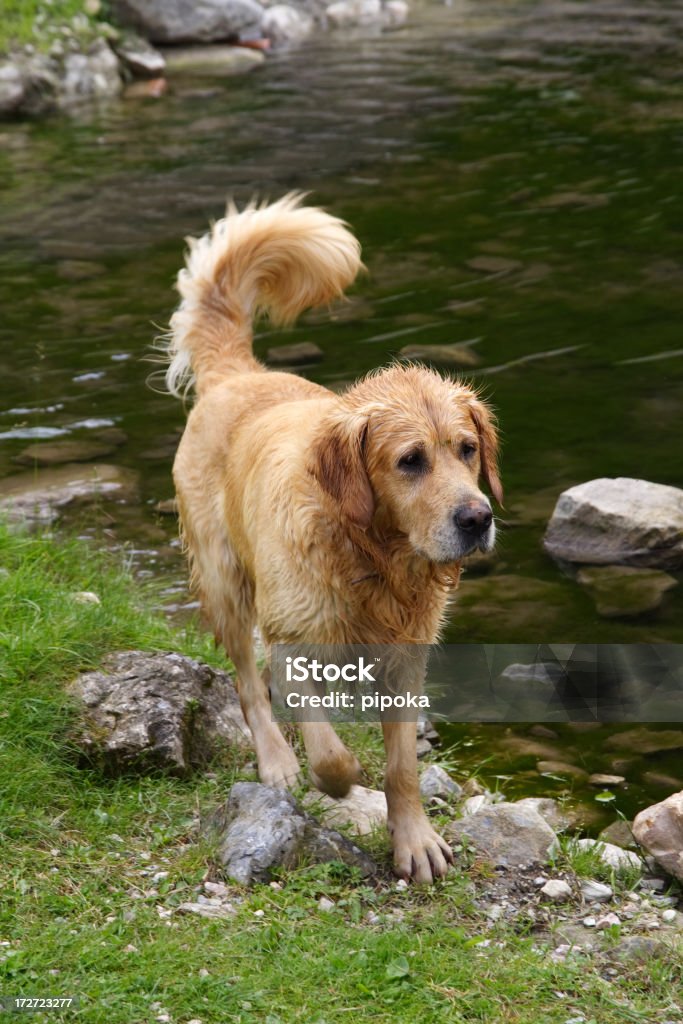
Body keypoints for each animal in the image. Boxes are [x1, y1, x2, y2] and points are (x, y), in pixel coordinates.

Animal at [162, 195, 499, 884]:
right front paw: (337, 780)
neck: (372, 555)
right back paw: (275, 760)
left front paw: (415, 840)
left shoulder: (407, 657)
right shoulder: (292, 639)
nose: (478, 519)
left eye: (467, 449)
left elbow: (402, 767)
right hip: (225, 580)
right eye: (410, 461)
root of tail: (238, 374)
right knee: (248, 682)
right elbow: (327, 750)